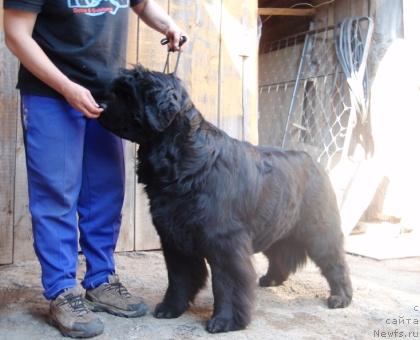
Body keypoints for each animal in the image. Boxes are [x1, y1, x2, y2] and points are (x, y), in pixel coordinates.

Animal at [98, 65, 352, 334]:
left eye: (127, 95)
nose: (99, 103)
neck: (187, 163)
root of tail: (315, 161)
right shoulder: (174, 238)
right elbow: (179, 277)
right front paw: (170, 308)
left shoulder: (224, 243)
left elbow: (227, 283)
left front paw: (225, 320)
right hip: (276, 225)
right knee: (281, 255)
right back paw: (270, 279)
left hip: (319, 230)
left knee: (335, 261)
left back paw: (341, 297)